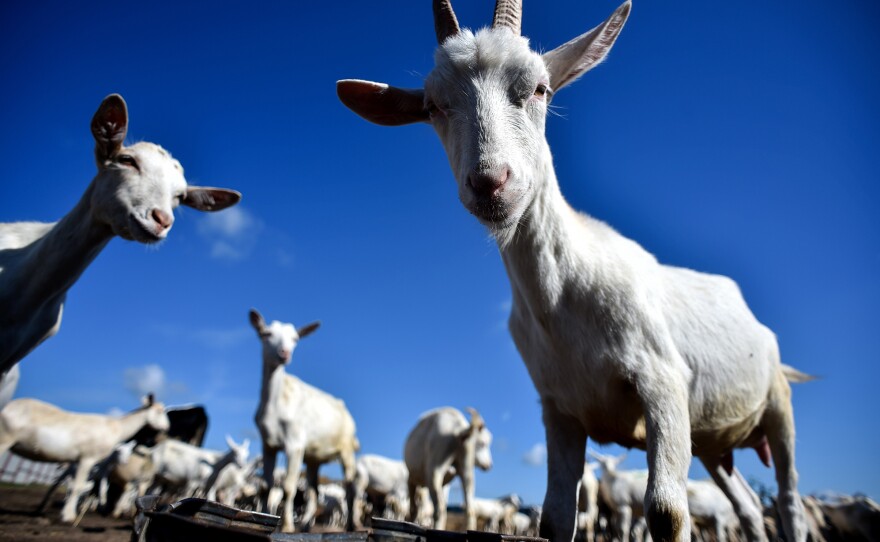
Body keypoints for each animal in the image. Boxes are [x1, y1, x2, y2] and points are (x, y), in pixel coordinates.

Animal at [0, 394, 168, 522]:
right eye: (160, 411)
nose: (166, 428)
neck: (117, 428)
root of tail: (9, 406)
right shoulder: (88, 458)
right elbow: (78, 487)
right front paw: (69, 516)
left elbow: (89, 488)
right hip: (5, 439)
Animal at [249, 308, 360, 532]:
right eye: (266, 334)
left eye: (295, 339)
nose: (284, 353)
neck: (276, 402)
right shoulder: (268, 444)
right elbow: (266, 486)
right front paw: (264, 516)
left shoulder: (295, 443)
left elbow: (288, 487)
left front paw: (286, 526)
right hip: (313, 458)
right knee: (313, 491)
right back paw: (307, 525)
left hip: (346, 448)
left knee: (350, 487)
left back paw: (351, 525)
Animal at [337, 2, 812, 541]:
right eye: (433, 107)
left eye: (540, 89)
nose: (491, 182)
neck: (566, 290)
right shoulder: (559, 409)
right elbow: (556, 516)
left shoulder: (664, 381)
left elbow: (667, 510)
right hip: (714, 442)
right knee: (750, 506)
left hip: (777, 404)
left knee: (789, 499)